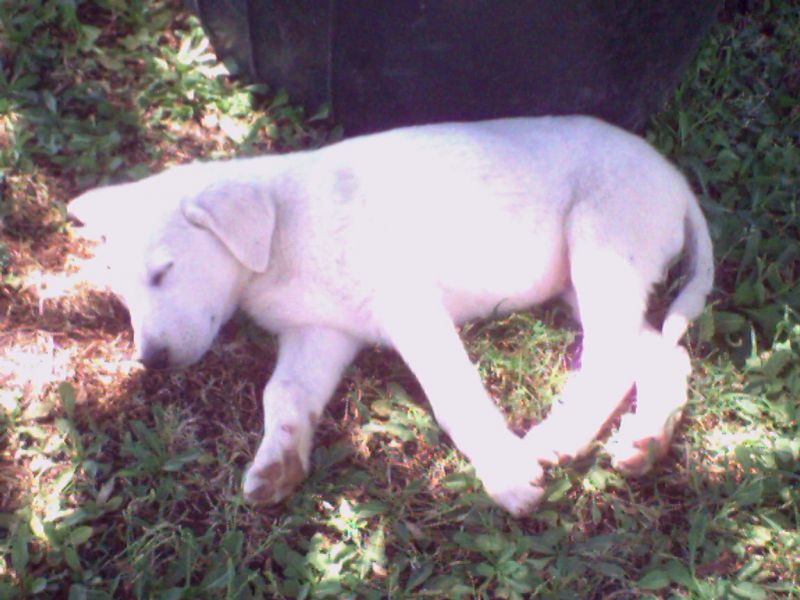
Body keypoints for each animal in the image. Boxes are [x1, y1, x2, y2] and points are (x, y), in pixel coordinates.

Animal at [69, 116, 716, 516]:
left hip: (604, 242)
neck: (281, 232)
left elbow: (453, 395)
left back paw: (561, 438)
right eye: (123, 296)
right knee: (662, 355)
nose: (152, 363)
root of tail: (677, 181)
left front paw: (506, 475)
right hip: (593, 281)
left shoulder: (408, 305)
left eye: (163, 272)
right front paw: (278, 462)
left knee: (612, 357)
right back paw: (647, 441)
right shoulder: (320, 333)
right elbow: (283, 394)